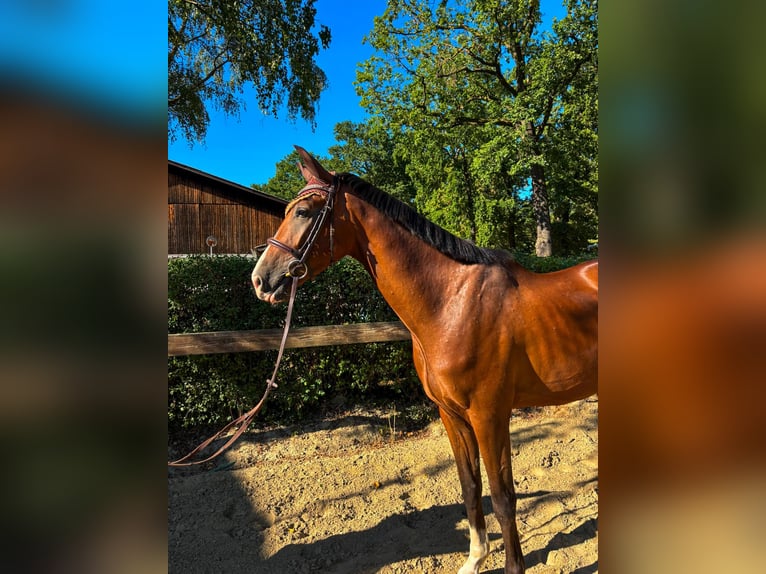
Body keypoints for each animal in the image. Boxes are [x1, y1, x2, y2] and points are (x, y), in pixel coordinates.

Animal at [252, 146, 598, 574]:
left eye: (302, 212)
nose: (261, 280)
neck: (452, 302)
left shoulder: (489, 415)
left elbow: (503, 497)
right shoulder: (451, 415)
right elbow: (471, 487)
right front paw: (475, 559)